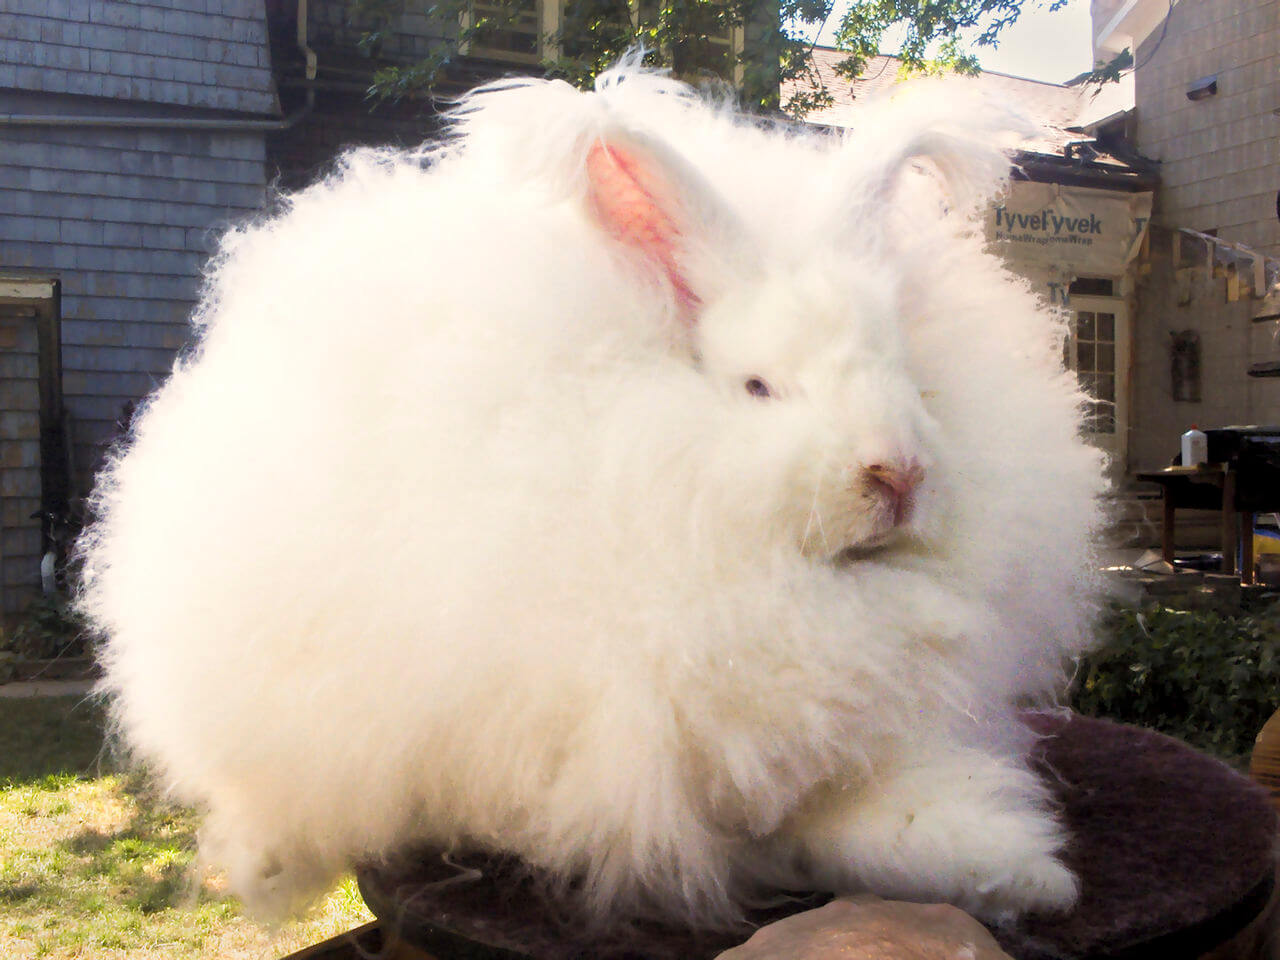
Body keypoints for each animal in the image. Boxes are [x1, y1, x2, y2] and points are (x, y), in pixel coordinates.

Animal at [80, 60, 1105, 931]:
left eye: (913, 381)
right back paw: (265, 862)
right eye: (758, 388)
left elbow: (888, 818)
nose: (897, 472)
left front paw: (1026, 875)